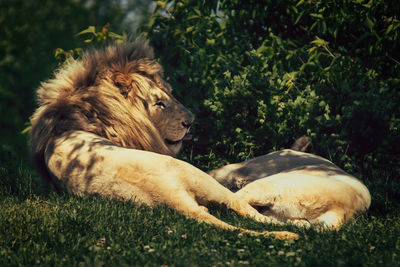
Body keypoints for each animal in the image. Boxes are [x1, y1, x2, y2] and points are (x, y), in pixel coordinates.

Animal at [29, 38, 298, 241]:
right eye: (159, 103)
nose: (190, 121)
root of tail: (170, 196)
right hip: (200, 178)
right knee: (248, 210)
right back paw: (295, 229)